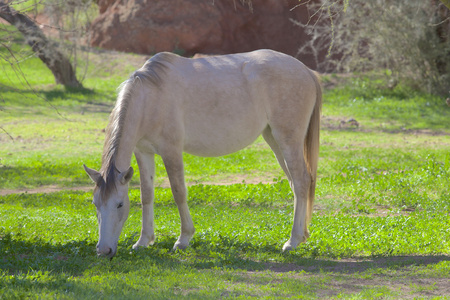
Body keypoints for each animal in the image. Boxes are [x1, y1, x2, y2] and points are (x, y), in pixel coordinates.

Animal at [84, 49, 322, 258]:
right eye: (95, 204)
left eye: (119, 204)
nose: (104, 250)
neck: (150, 97)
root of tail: (306, 71)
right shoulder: (143, 152)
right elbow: (147, 194)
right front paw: (143, 241)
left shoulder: (171, 151)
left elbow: (179, 192)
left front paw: (183, 239)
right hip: (274, 139)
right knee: (295, 184)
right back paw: (301, 236)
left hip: (287, 140)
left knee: (301, 181)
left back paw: (292, 241)